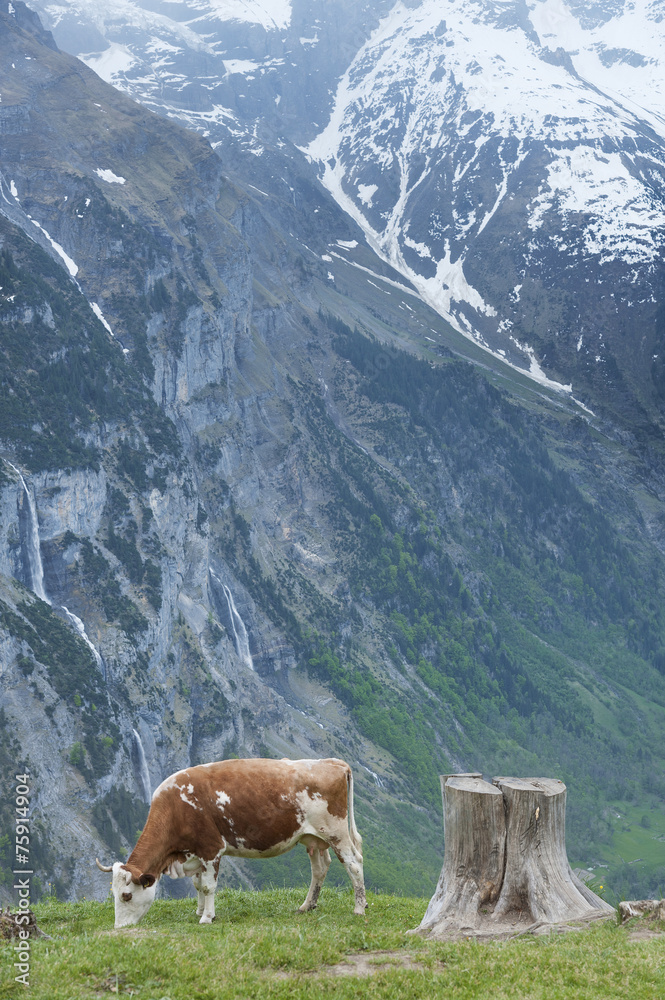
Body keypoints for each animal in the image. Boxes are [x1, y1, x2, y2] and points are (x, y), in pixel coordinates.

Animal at [94, 756, 364, 928]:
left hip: (336, 832)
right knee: (320, 869)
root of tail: (332, 762)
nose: (119, 927)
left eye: (126, 896)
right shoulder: (194, 853)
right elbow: (197, 884)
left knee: (354, 863)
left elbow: (208, 886)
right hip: (313, 838)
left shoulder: (211, 848)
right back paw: (307, 906)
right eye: (113, 893)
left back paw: (359, 908)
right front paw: (200, 910)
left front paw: (206, 918)